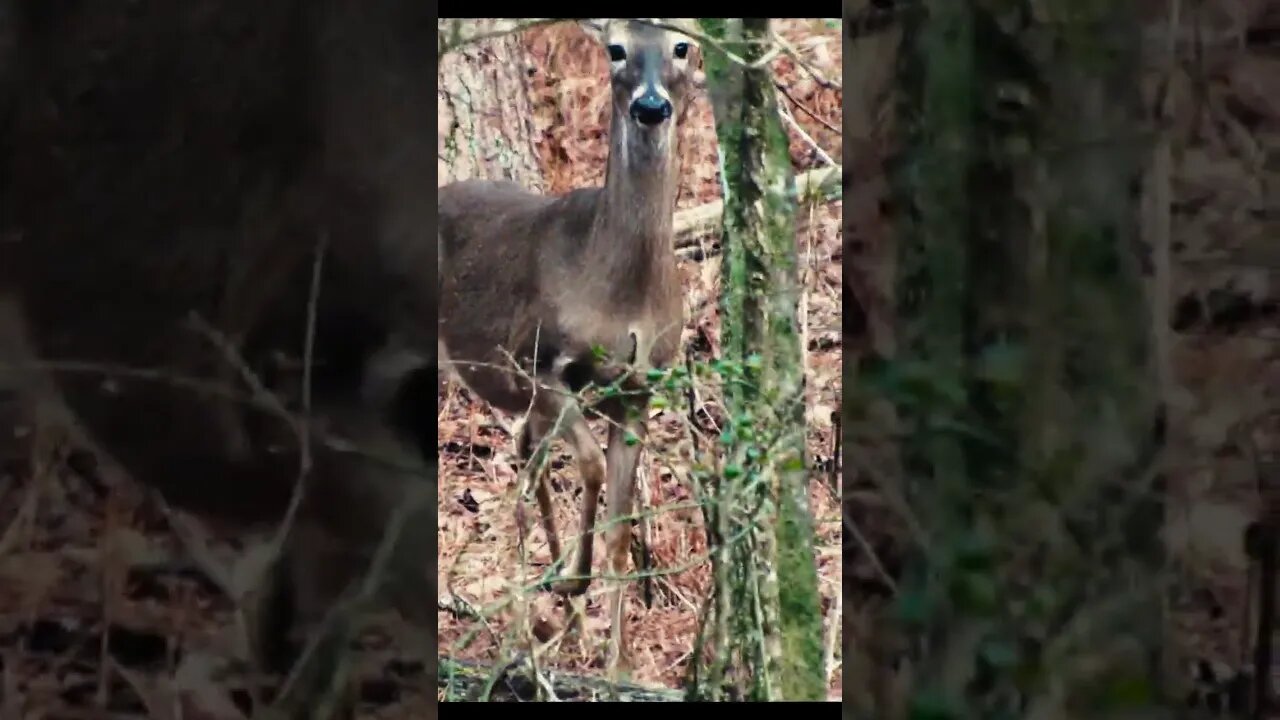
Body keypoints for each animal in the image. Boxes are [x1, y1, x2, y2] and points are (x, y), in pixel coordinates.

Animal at [438, 18, 697, 677]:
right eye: (616, 47)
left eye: (682, 44)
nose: (651, 106)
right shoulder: (538, 364)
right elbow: (588, 465)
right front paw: (574, 581)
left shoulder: (640, 389)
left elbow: (621, 528)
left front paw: (617, 663)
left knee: (523, 461)